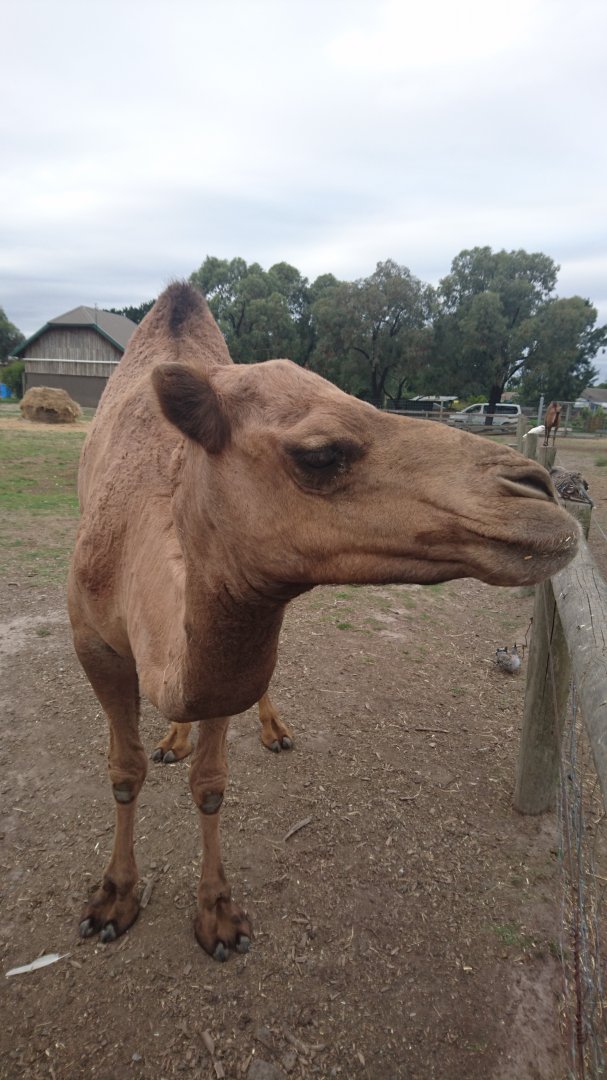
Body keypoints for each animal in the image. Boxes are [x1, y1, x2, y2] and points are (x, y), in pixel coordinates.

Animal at [68, 282, 579, 961]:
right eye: (319, 453)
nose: (540, 491)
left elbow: (212, 782)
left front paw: (218, 917)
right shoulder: (93, 642)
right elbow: (125, 772)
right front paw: (113, 901)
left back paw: (269, 729)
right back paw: (173, 738)